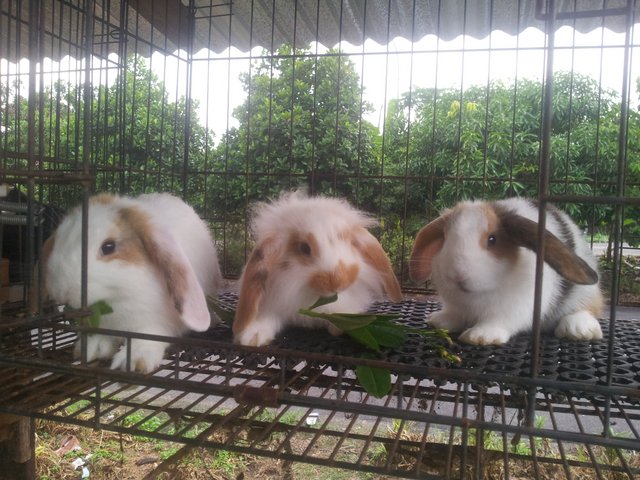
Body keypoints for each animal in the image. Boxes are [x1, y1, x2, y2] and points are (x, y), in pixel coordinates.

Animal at [42, 193, 222, 374]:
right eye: (59, 241)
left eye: (108, 247)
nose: (61, 291)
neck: (119, 298)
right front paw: (91, 349)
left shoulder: (155, 324)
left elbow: (147, 338)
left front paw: (134, 361)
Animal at [232, 190, 402, 344]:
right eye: (304, 248)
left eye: (347, 241)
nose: (340, 281)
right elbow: (267, 317)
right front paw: (253, 337)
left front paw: (341, 325)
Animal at [408, 198, 604, 344]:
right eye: (446, 238)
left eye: (492, 239)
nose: (457, 274)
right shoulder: (455, 305)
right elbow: (454, 314)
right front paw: (439, 321)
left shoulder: (517, 307)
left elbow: (500, 320)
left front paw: (480, 336)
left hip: (585, 294)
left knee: (589, 307)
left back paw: (578, 330)